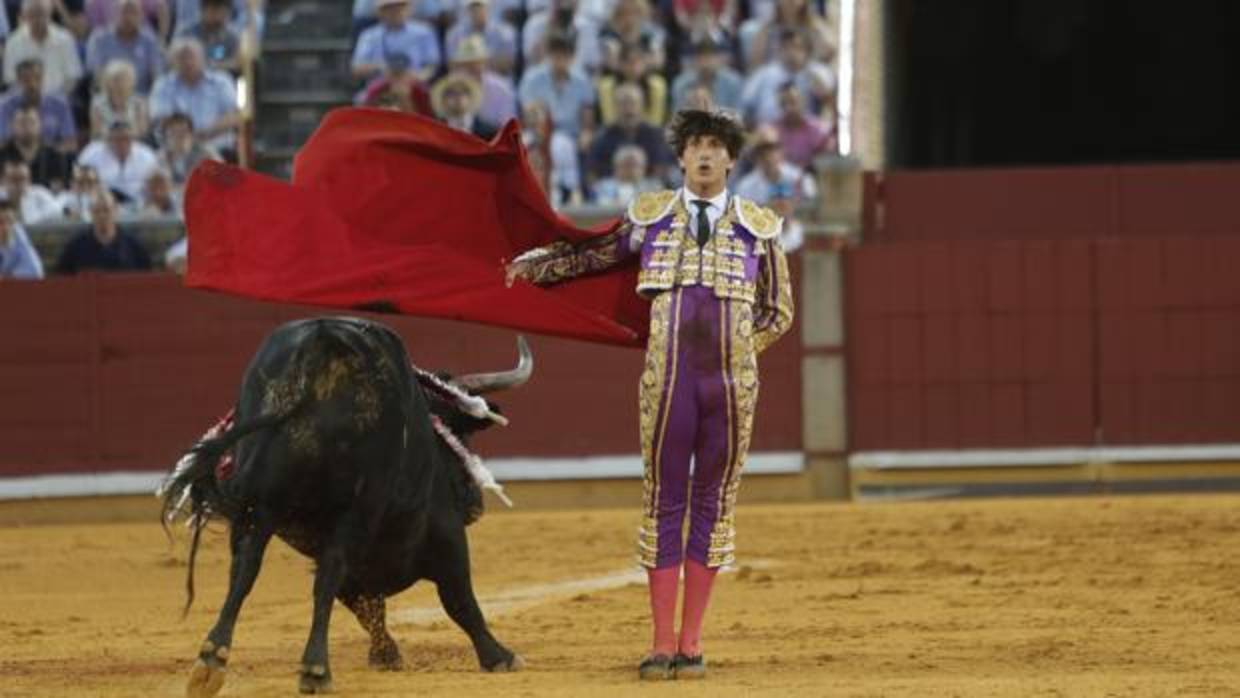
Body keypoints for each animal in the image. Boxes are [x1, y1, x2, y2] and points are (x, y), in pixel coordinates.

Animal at [158, 319, 528, 694]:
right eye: (458, 433)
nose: (474, 503)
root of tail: (322, 341)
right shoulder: (445, 531)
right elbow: (458, 598)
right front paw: (499, 656)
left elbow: (366, 606)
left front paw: (385, 654)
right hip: (355, 505)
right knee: (326, 576)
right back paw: (315, 669)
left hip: (263, 500)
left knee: (245, 567)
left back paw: (211, 660)